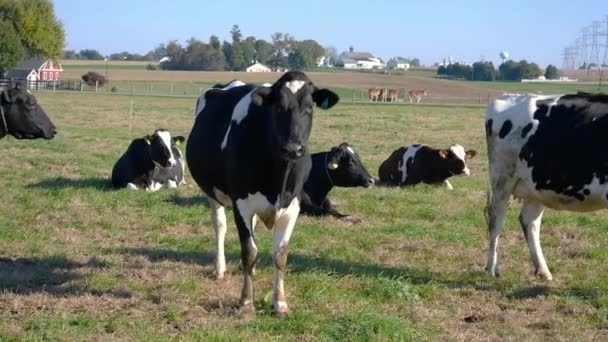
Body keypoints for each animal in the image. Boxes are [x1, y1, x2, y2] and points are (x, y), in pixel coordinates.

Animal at [186, 71, 338, 316]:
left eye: (309, 106)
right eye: (278, 107)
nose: (293, 148)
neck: (279, 178)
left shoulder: (293, 205)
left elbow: (280, 254)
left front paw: (280, 303)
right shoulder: (241, 204)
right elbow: (249, 251)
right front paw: (246, 302)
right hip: (212, 192)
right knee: (220, 226)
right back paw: (220, 268)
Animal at [484, 91, 608, 280]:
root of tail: (509, 95)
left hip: (536, 186)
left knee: (529, 221)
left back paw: (543, 270)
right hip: (502, 179)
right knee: (495, 220)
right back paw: (491, 268)